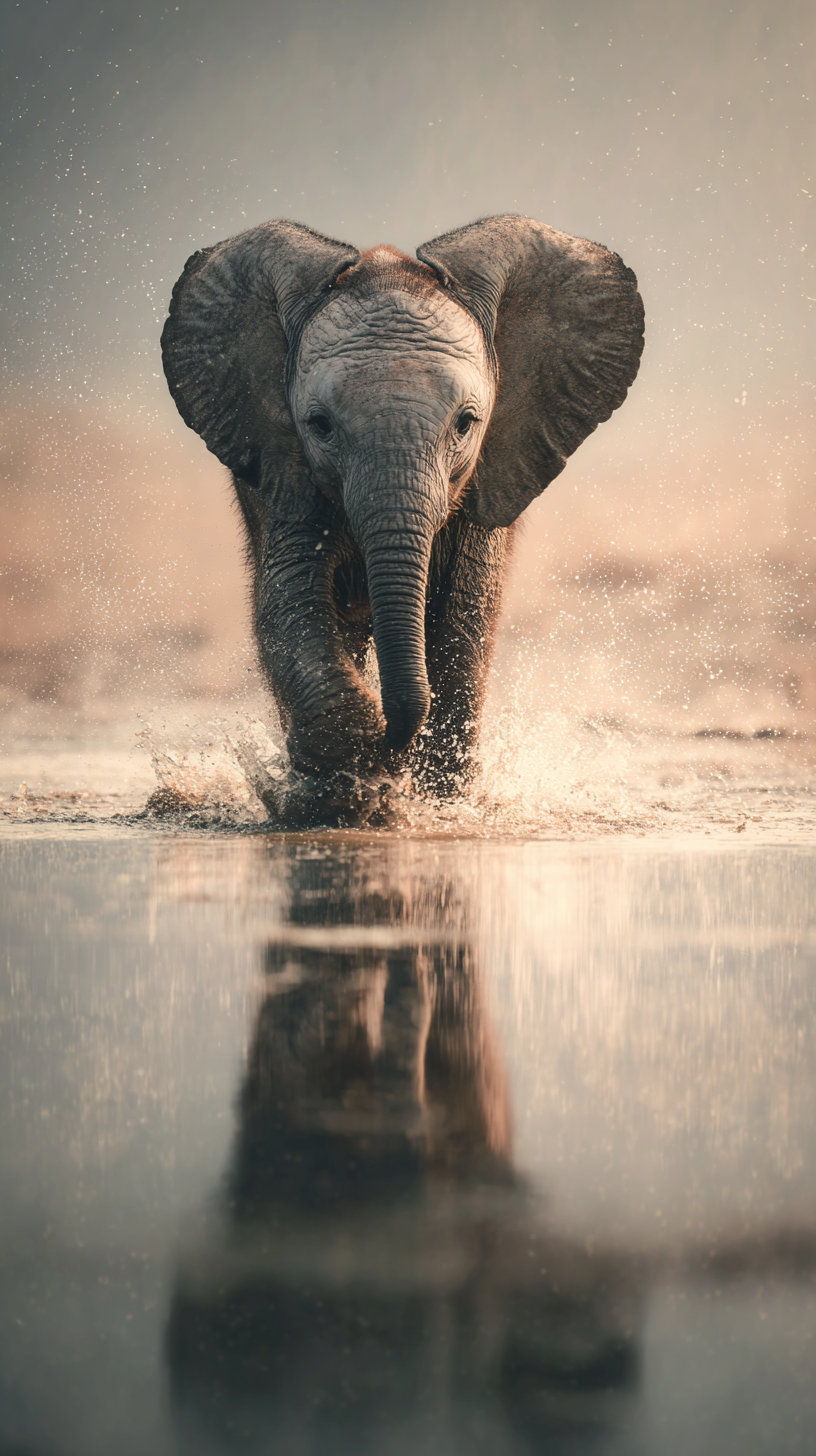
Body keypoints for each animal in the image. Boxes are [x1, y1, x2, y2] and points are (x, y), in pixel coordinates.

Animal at [161, 214, 644, 826]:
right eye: (320, 425)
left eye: (466, 423)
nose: (395, 739)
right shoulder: (284, 469)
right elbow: (287, 605)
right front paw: (349, 791)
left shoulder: (489, 476)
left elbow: (464, 618)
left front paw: (432, 801)